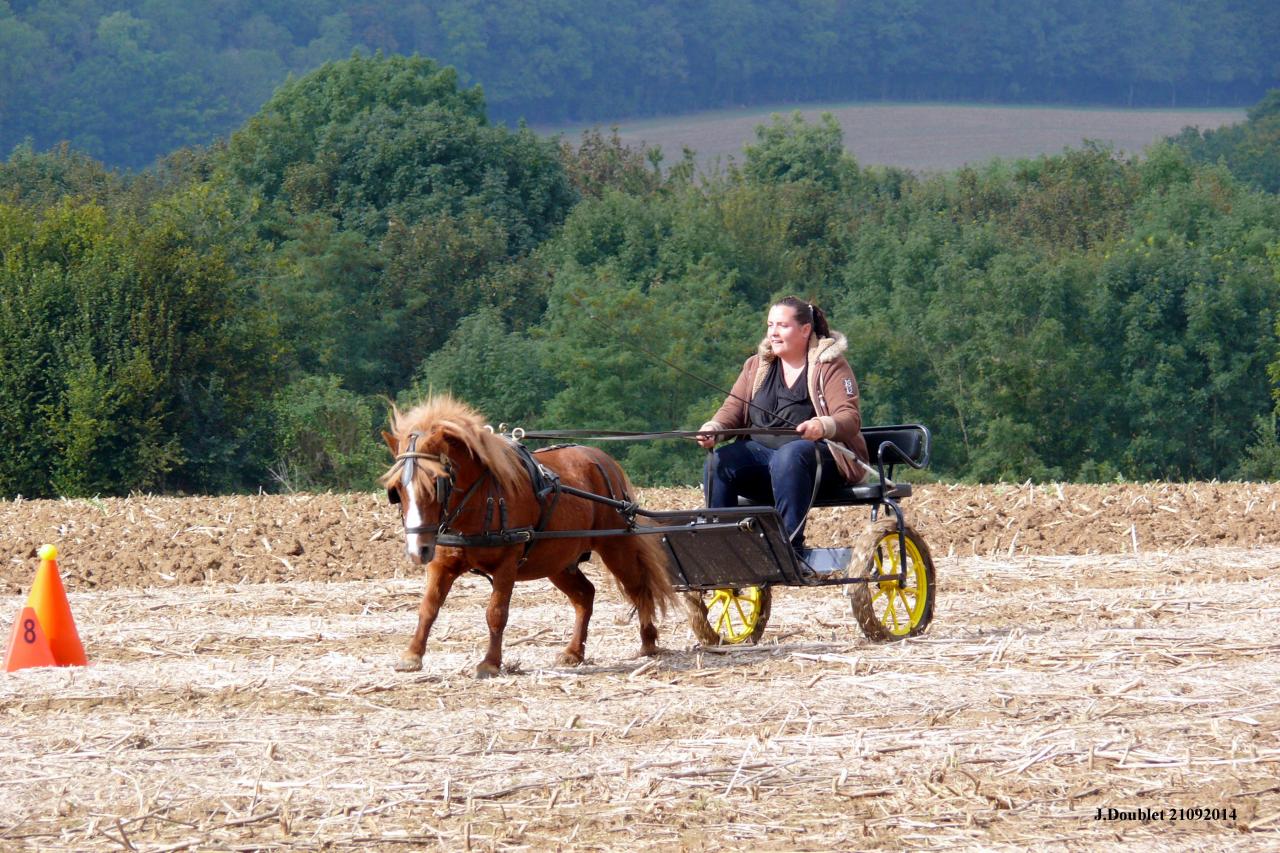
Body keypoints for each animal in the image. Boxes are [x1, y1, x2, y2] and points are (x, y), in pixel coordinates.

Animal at [380, 395, 674, 677]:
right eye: (396, 490)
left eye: (436, 484)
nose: (418, 550)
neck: (481, 498)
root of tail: (603, 459)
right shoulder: (442, 563)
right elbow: (428, 607)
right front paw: (412, 656)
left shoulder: (507, 563)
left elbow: (496, 613)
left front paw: (490, 663)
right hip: (557, 561)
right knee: (585, 595)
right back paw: (574, 652)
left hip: (616, 547)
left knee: (639, 588)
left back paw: (648, 642)